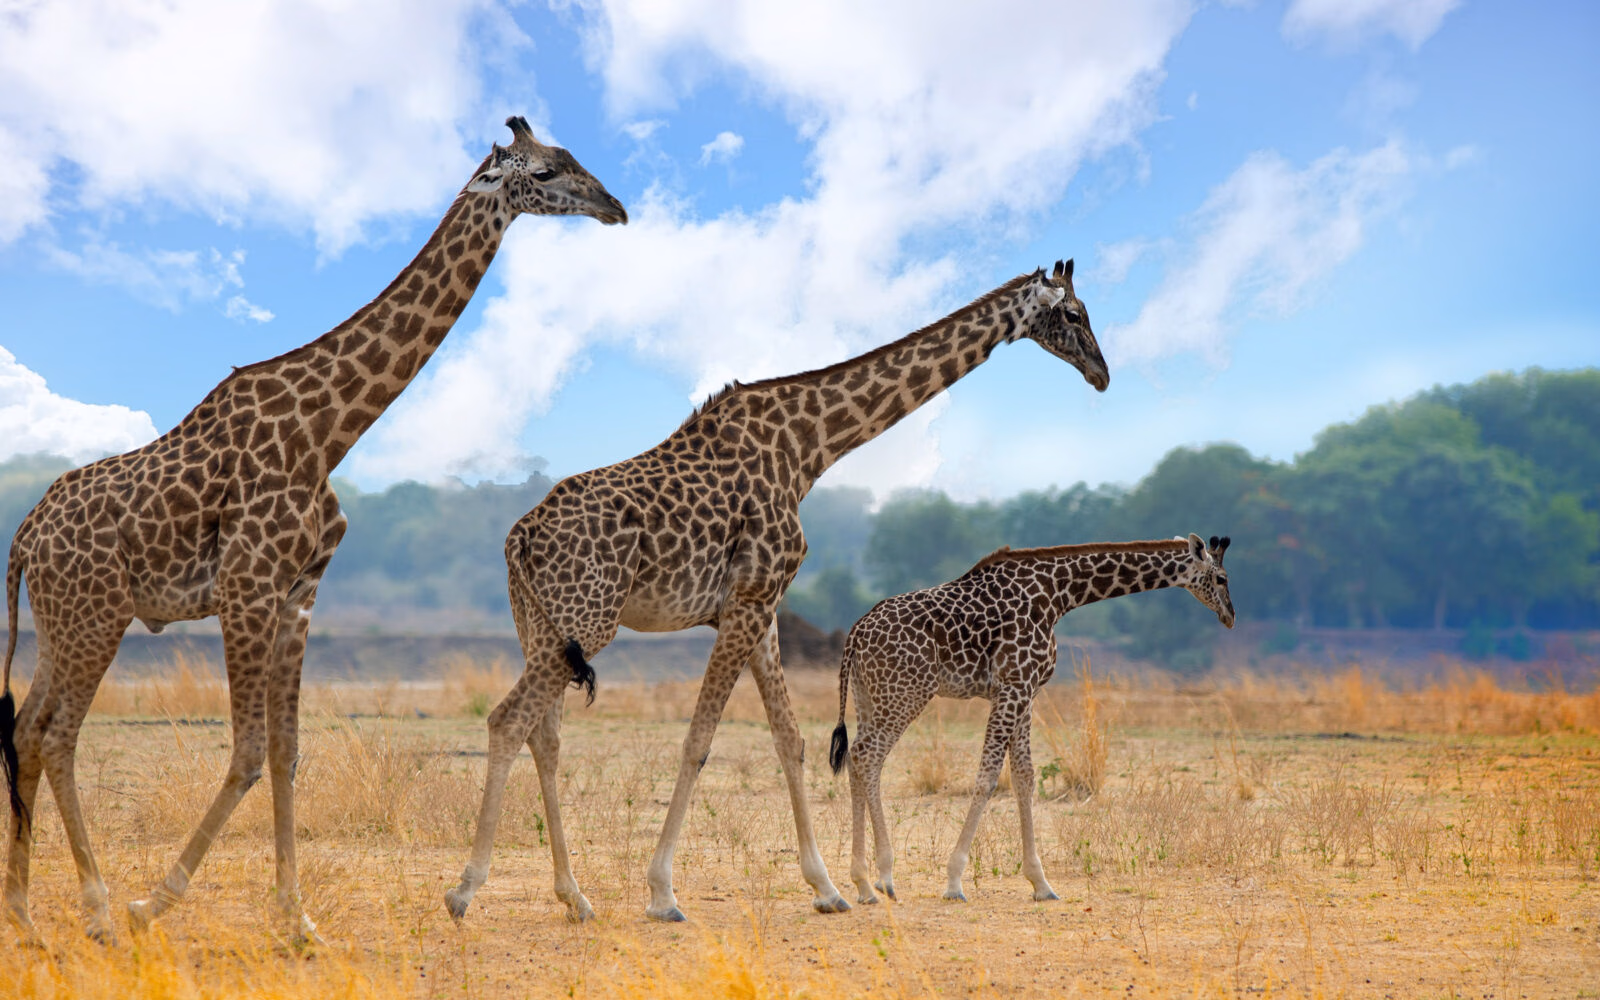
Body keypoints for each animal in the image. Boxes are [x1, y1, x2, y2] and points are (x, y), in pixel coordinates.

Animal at [0, 116, 626, 945]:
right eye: (549, 171)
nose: (616, 207)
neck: (330, 431)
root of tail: (24, 536)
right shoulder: (247, 585)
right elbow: (246, 751)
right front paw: (157, 899)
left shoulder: (299, 593)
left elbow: (288, 752)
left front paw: (295, 918)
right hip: (95, 615)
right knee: (58, 734)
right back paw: (100, 907)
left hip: (64, 618)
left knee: (27, 728)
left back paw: (24, 913)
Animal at [444, 259, 1109, 925]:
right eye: (1075, 314)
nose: (1102, 374)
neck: (809, 447)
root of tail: (520, 535)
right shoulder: (749, 600)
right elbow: (699, 740)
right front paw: (663, 893)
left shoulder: (759, 609)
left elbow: (791, 740)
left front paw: (828, 888)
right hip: (589, 620)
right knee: (508, 720)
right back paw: (465, 889)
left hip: (543, 626)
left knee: (544, 736)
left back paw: (574, 896)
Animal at [829, 534, 1234, 905]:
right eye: (1222, 577)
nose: (1230, 616)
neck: (1059, 595)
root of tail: (855, 634)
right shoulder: (1013, 686)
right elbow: (988, 778)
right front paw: (954, 882)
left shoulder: (1026, 692)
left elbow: (1024, 777)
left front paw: (1041, 883)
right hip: (906, 692)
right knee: (868, 757)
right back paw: (879, 878)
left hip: (870, 696)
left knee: (859, 758)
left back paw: (866, 882)